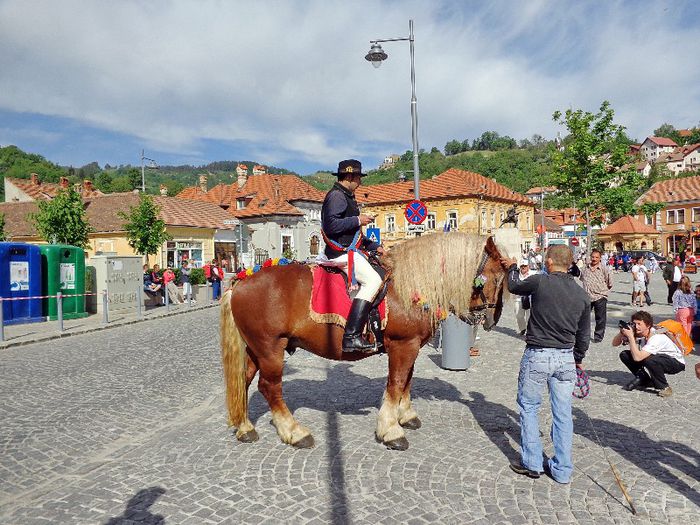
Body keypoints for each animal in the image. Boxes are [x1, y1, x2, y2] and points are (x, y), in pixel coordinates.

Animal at [223, 233, 508, 450]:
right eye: (496, 277)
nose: (491, 319)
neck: (409, 285)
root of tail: (242, 281)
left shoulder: (412, 346)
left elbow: (407, 381)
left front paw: (405, 415)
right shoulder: (403, 345)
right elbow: (396, 384)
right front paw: (391, 430)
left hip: (256, 350)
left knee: (244, 380)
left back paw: (245, 427)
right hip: (271, 349)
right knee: (269, 387)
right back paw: (294, 432)